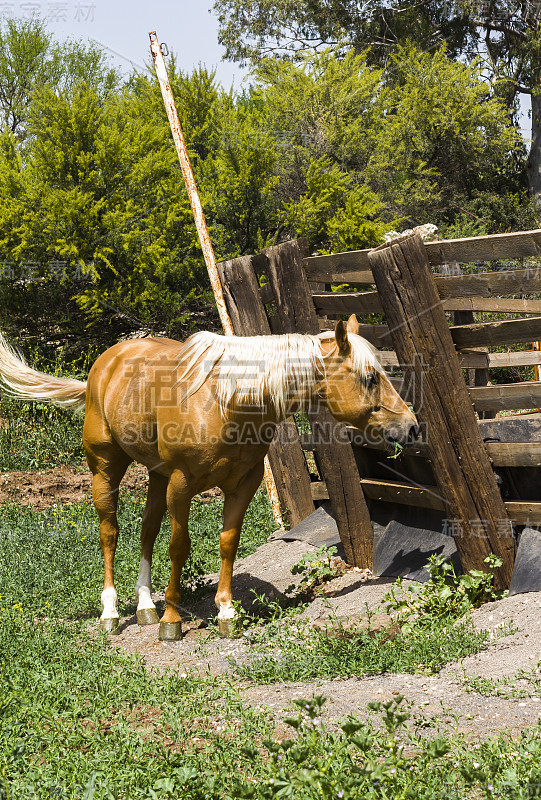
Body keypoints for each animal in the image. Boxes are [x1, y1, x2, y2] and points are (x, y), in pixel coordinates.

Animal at [0, 316, 418, 640]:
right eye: (370, 378)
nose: (411, 426)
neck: (227, 401)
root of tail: (104, 367)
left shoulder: (243, 485)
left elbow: (227, 544)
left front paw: (226, 612)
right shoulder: (182, 484)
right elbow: (179, 547)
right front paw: (171, 620)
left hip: (156, 476)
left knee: (147, 530)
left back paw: (145, 605)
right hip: (105, 470)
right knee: (110, 533)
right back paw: (112, 613)